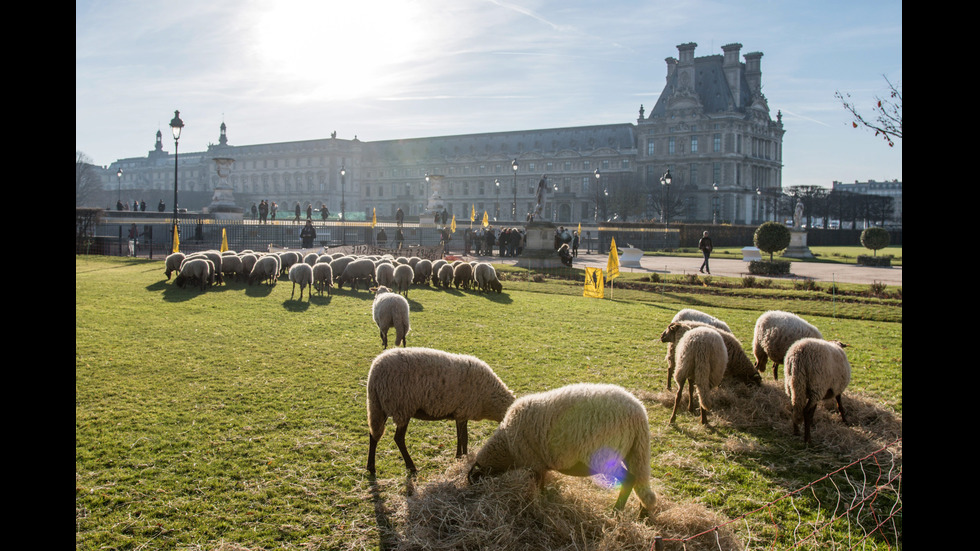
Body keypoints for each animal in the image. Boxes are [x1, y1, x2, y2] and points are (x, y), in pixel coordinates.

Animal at [360, 350, 512, 474]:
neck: (490, 400)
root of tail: (374, 373)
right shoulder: (464, 411)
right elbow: (464, 437)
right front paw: (464, 457)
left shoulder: (459, 413)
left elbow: (460, 437)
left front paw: (459, 456)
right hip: (402, 407)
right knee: (398, 438)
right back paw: (411, 467)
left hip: (378, 406)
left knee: (373, 434)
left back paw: (371, 467)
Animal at [468, 382, 660, 516]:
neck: (507, 445)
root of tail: (639, 412)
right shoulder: (540, 465)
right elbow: (542, 484)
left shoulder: (534, 463)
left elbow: (538, 486)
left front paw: (539, 503)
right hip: (635, 451)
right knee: (641, 482)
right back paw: (643, 512)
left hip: (605, 457)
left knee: (629, 479)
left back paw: (616, 511)